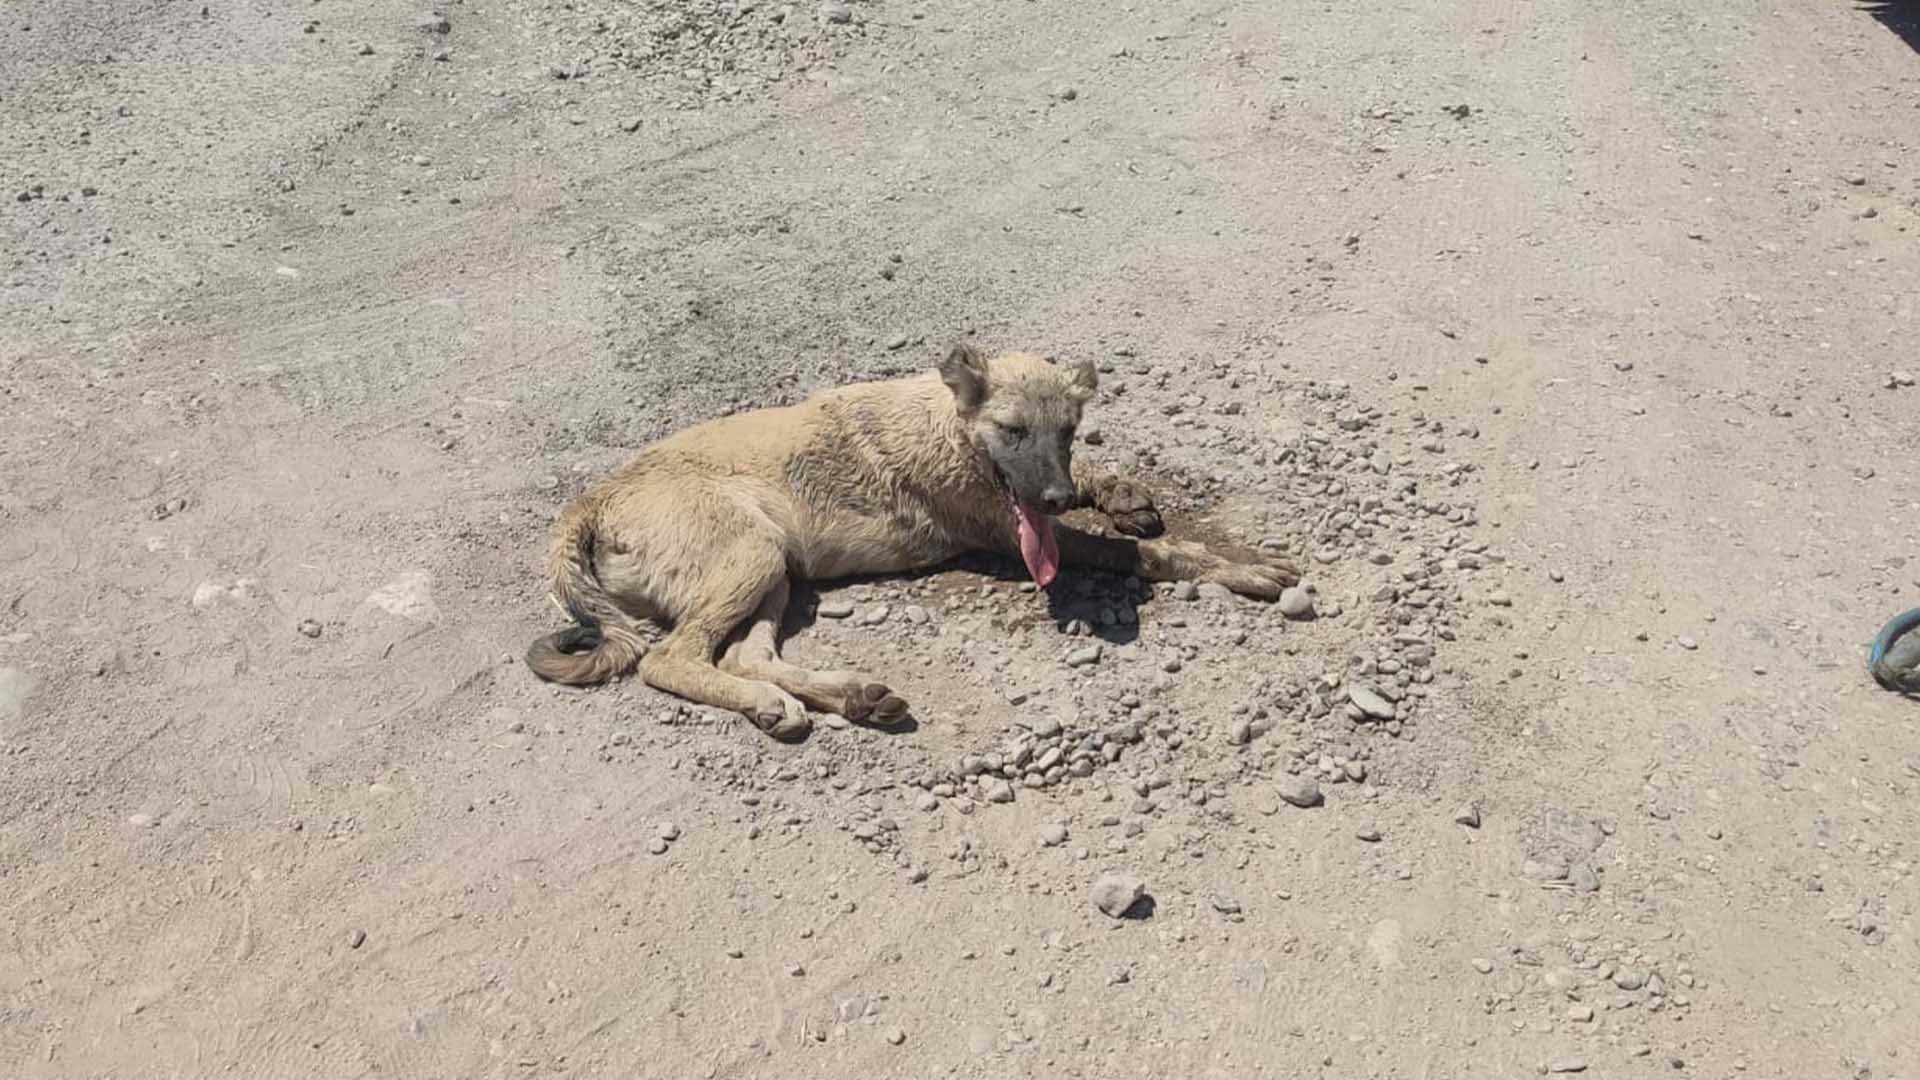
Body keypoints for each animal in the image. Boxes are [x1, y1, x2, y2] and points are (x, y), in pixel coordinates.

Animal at [529, 340, 1305, 734]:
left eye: (1067, 430)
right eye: (1011, 431)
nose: (1053, 497)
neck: (950, 428)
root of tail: (589, 500)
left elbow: (1110, 493)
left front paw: (1119, 491)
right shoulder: (1008, 529)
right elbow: (1144, 552)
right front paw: (1238, 568)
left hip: (775, 570)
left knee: (749, 656)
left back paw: (845, 698)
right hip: (749, 557)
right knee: (672, 660)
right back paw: (771, 705)